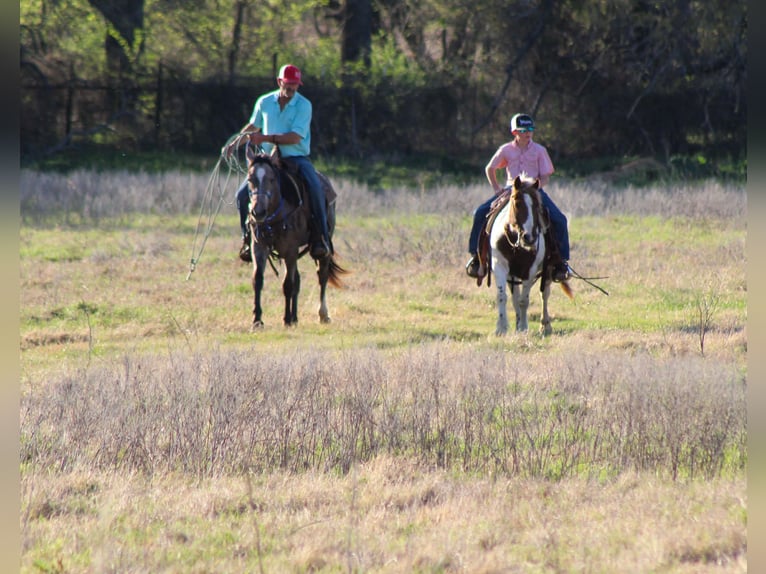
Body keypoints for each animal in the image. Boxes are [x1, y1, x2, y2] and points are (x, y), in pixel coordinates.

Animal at [244, 146, 347, 328]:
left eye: (272, 179)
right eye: (250, 179)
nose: (258, 212)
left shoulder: (290, 250)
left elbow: (288, 284)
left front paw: (286, 319)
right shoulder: (259, 246)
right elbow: (258, 280)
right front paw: (257, 320)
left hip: (324, 245)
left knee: (322, 275)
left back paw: (322, 314)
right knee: (298, 279)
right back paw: (295, 317)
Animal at [489, 174, 573, 336]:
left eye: (536, 206)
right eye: (517, 203)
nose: (529, 237)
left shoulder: (530, 270)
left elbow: (524, 300)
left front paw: (523, 327)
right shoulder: (500, 266)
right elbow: (503, 297)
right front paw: (501, 327)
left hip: (548, 270)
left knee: (544, 294)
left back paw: (545, 325)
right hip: (513, 275)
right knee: (515, 297)